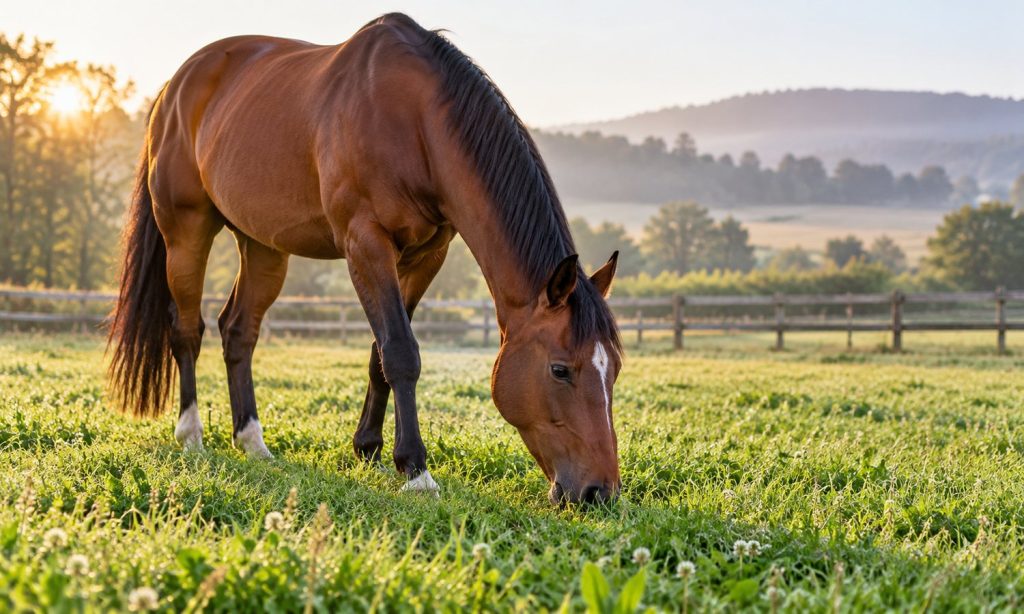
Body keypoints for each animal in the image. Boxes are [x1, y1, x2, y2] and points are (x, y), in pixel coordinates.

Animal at [107, 13, 622, 505]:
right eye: (560, 369)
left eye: (613, 368)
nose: (599, 493)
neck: (417, 122)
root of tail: (173, 88)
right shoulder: (366, 244)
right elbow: (400, 351)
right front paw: (416, 469)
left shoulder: (426, 256)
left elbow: (381, 353)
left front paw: (369, 448)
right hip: (186, 232)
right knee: (186, 329)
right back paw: (191, 434)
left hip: (263, 246)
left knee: (238, 331)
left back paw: (252, 441)